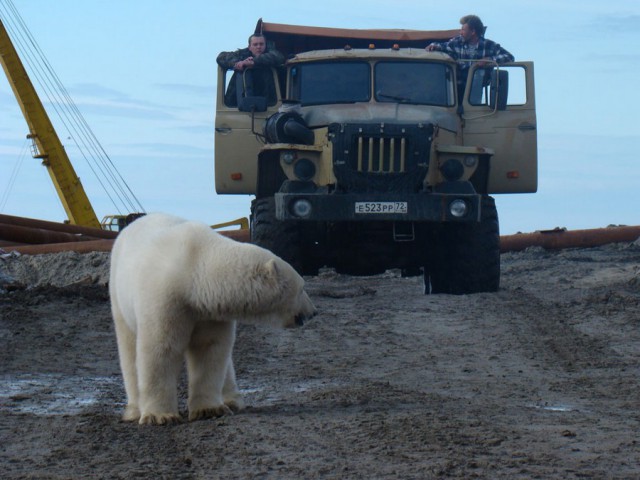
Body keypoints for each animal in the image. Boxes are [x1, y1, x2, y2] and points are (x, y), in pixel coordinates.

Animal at [109, 212, 316, 426]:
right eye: (302, 288)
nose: (313, 311)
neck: (193, 271)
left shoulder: (210, 311)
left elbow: (209, 349)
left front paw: (209, 410)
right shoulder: (166, 299)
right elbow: (161, 349)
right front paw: (160, 416)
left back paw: (232, 400)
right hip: (119, 293)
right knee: (128, 350)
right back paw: (134, 410)